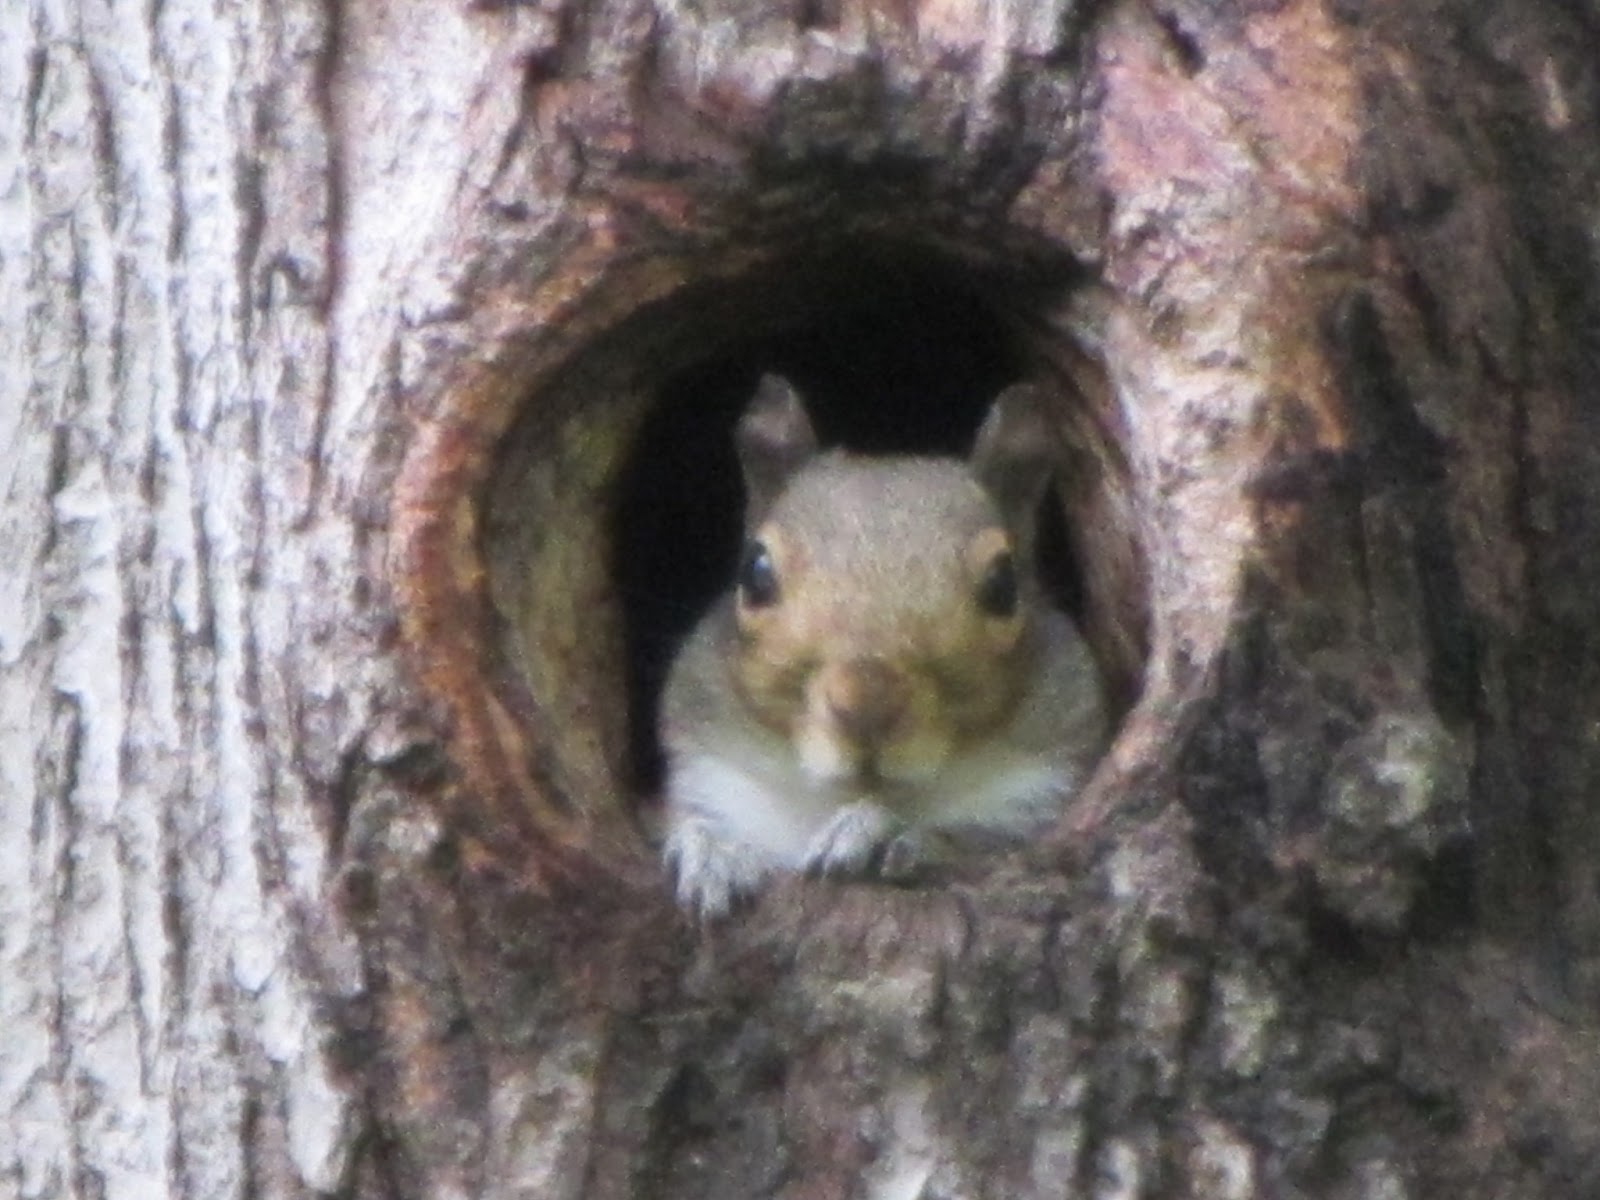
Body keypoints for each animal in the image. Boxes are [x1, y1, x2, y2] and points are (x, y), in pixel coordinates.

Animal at [659, 374, 1108, 917]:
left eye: (1004, 585)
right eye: (755, 573)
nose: (866, 700)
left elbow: (971, 840)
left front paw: (876, 829)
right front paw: (712, 852)